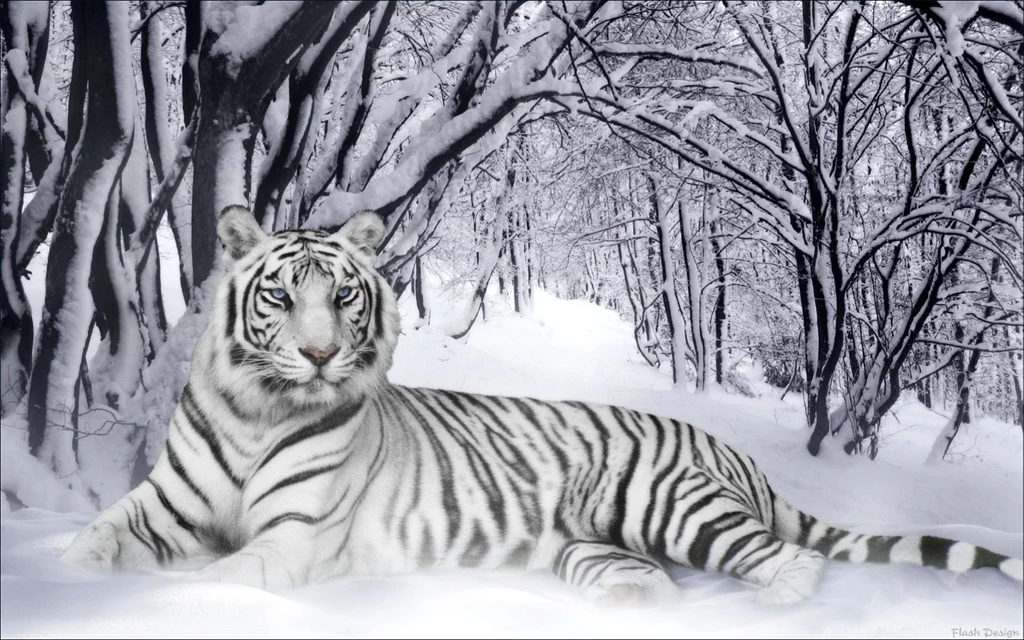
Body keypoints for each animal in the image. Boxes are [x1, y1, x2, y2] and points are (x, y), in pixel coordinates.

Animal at [61, 204, 1024, 606]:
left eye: (343, 297)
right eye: (280, 296)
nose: (322, 354)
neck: (259, 410)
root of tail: (732, 451)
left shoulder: (292, 540)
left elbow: (215, 580)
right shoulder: (159, 507)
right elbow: (93, 542)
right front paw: (70, 584)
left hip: (670, 504)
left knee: (788, 561)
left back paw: (774, 607)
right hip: (592, 546)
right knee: (650, 581)